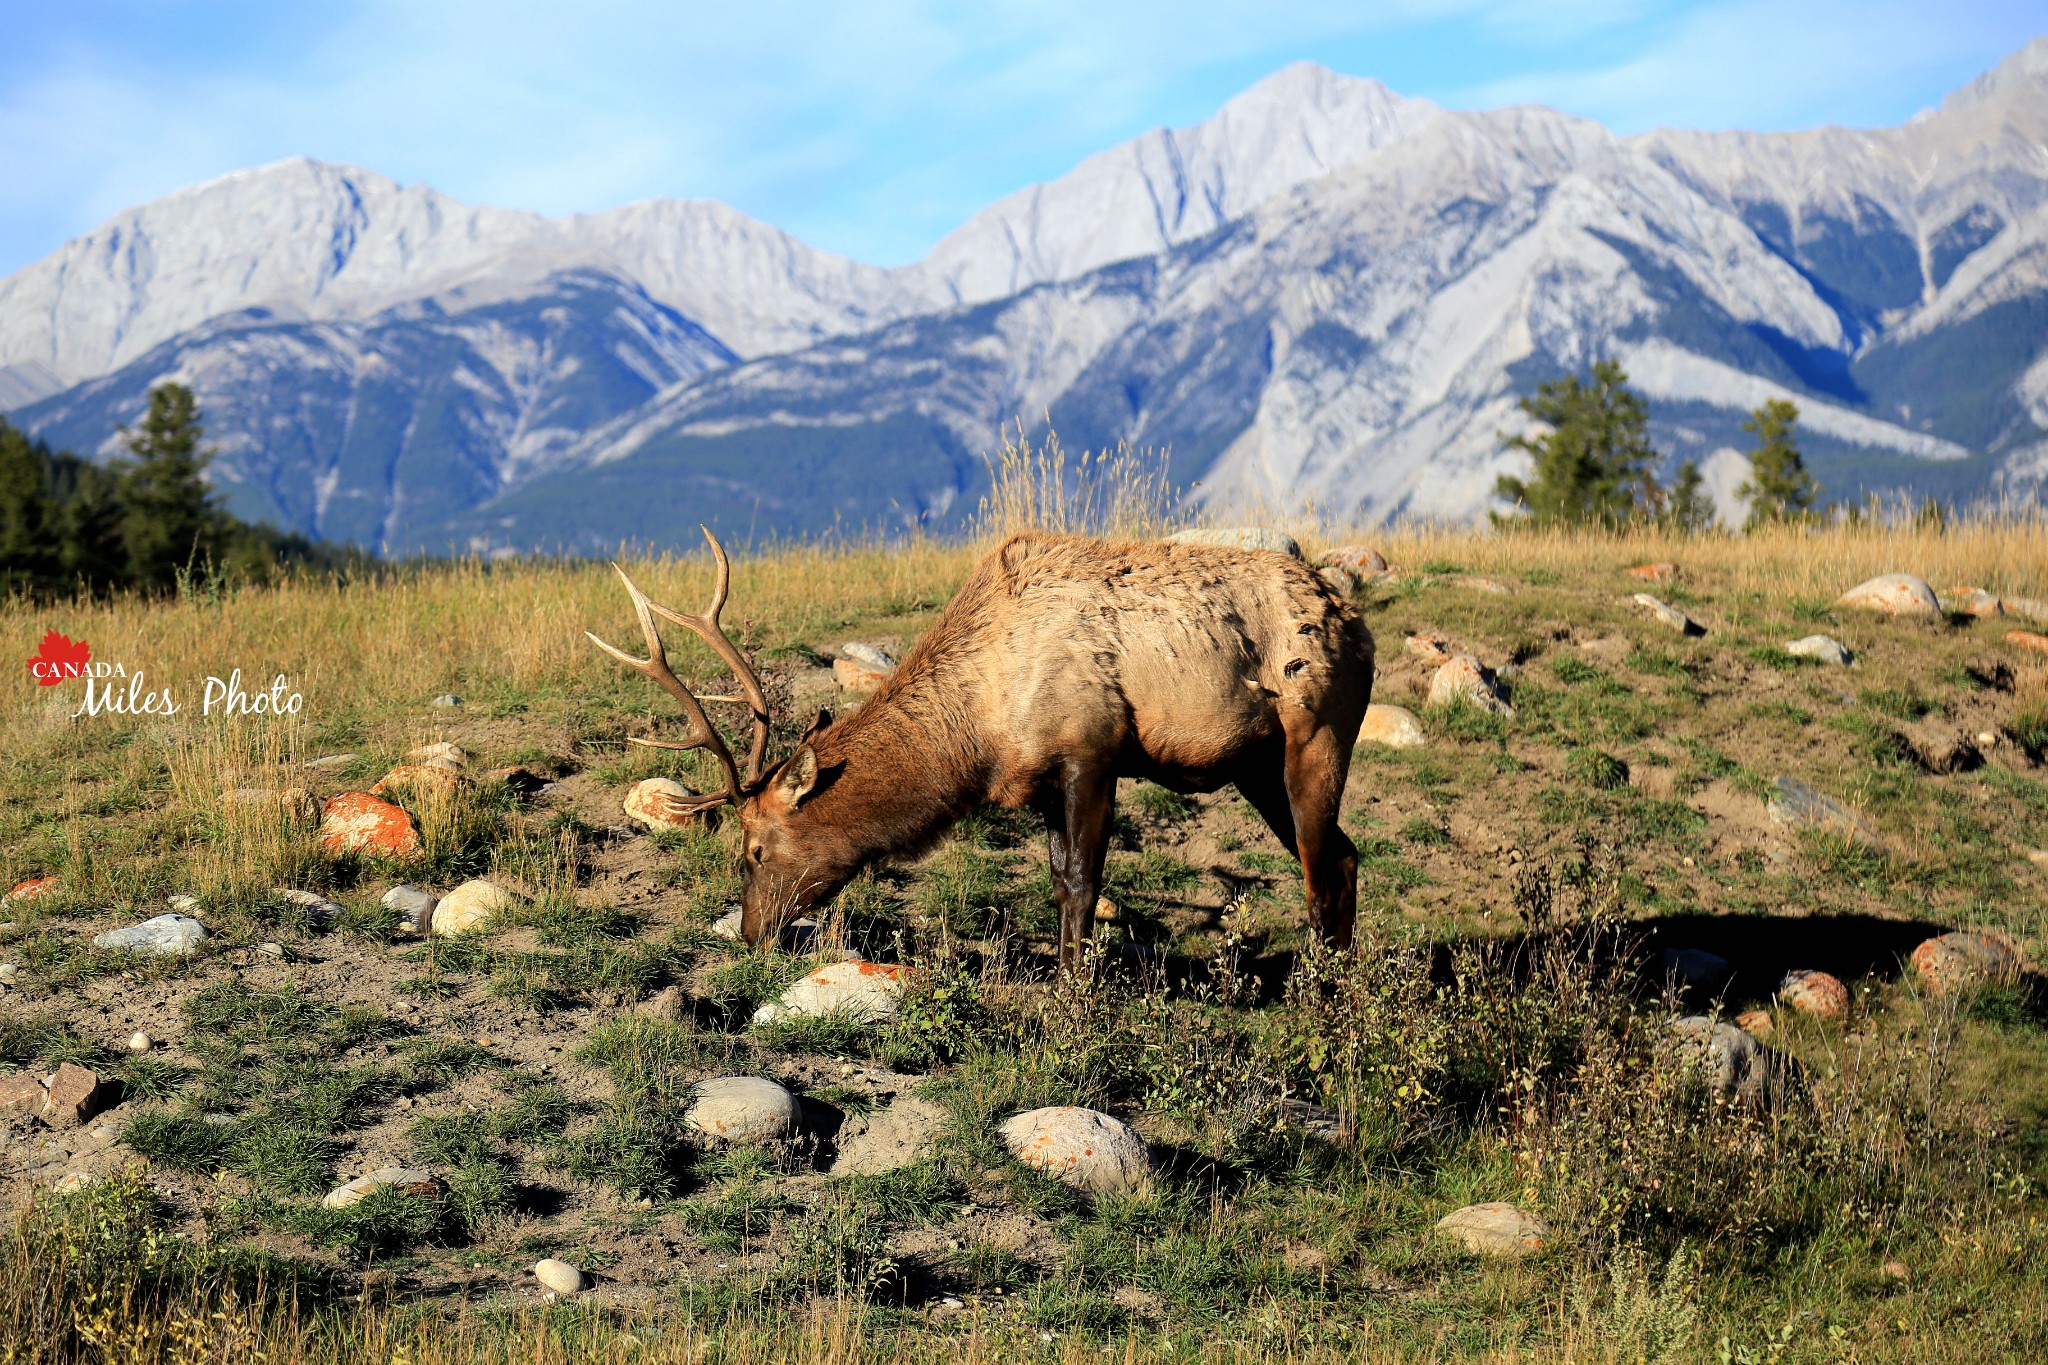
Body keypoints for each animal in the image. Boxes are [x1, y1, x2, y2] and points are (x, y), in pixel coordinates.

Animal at [589, 527, 1376, 970]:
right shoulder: (1042, 780)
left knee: (1322, 866)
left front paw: (1074, 998)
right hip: (1256, 764)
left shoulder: (1093, 749)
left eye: (754, 850)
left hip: (1318, 732)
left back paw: (1326, 998)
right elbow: (1058, 882)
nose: (752, 934)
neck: (978, 734)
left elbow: (1084, 884)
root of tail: (1355, 621)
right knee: (1342, 855)